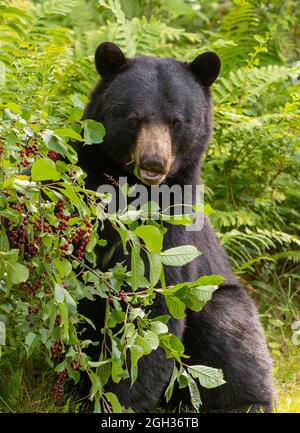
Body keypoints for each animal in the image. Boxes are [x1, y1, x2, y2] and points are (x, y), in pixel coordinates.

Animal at [76, 43, 276, 412]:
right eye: (134, 118)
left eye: (176, 121)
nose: (153, 163)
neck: (131, 189)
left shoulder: (171, 226)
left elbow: (155, 304)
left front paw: (123, 399)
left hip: (220, 300)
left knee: (234, 343)